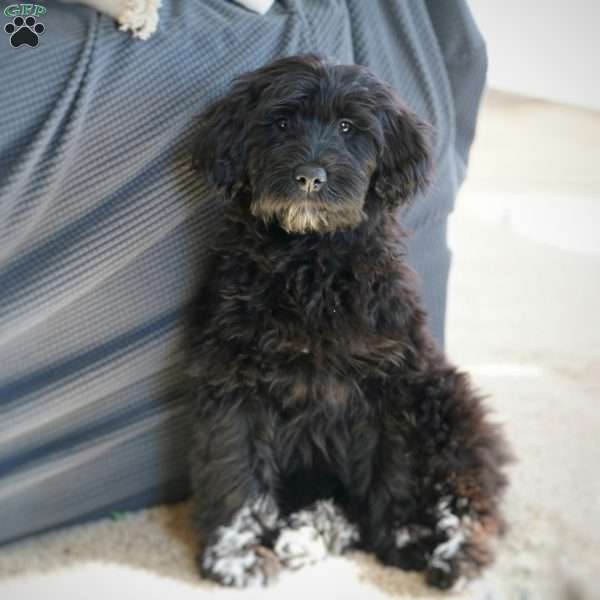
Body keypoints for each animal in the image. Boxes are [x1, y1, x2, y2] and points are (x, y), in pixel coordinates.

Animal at [189, 55, 510, 592]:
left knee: (469, 496)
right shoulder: (233, 383)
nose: (309, 177)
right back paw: (303, 536)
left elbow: (392, 470)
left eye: (347, 128)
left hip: (447, 407)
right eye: (281, 124)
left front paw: (400, 536)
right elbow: (238, 471)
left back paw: (454, 553)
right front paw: (239, 555)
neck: (310, 261)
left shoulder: (390, 386)